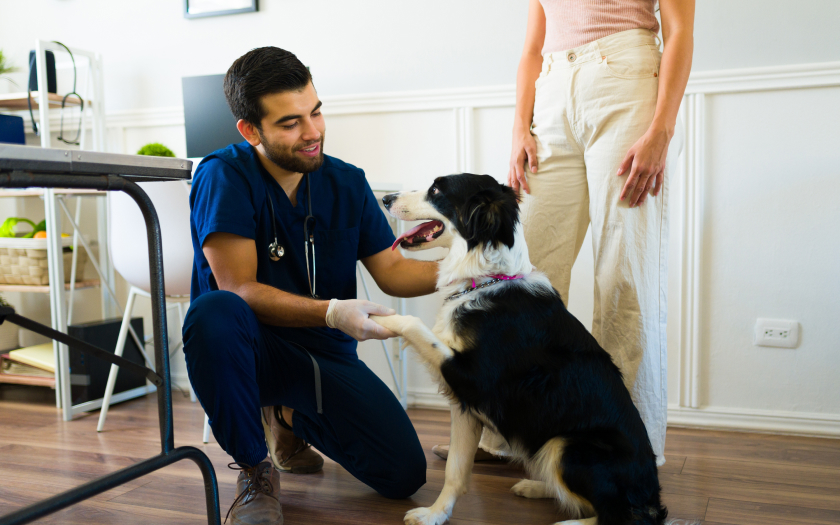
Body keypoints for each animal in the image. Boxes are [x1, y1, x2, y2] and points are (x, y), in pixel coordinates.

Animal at [370, 174, 668, 520]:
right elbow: (455, 470)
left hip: (566, 445)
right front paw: (435, 515)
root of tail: (650, 496)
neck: (487, 278)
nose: (385, 199)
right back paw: (537, 486)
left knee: (615, 515)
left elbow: (413, 324)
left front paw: (363, 313)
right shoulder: (465, 403)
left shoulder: (474, 378)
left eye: (436, 190)